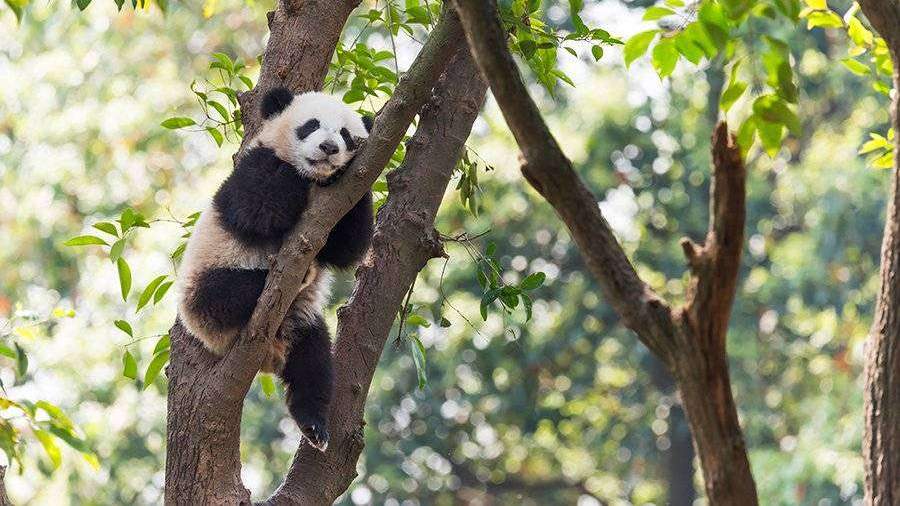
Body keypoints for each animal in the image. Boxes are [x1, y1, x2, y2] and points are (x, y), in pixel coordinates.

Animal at [178, 87, 374, 450]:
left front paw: (345, 171)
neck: (315, 184)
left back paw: (314, 425)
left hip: (300, 320)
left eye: (345, 135)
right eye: (311, 125)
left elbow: (346, 248)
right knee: (226, 294)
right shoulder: (253, 166)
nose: (329, 149)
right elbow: (259, 208)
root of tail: (269, 355)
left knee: (313, 361)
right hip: (202, 289)